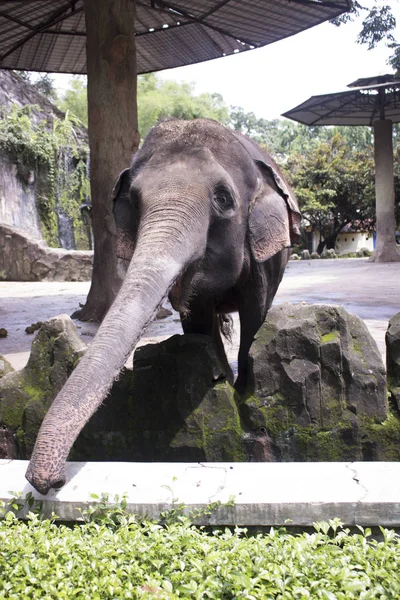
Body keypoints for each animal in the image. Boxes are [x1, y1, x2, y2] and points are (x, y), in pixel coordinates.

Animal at [25, 118, 300, 496]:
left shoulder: (265, 255)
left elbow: (255, 314)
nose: (50, 483)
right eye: (134, 201)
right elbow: (198, 321)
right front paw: (223, 383)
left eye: (223, 199)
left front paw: (243, 393)